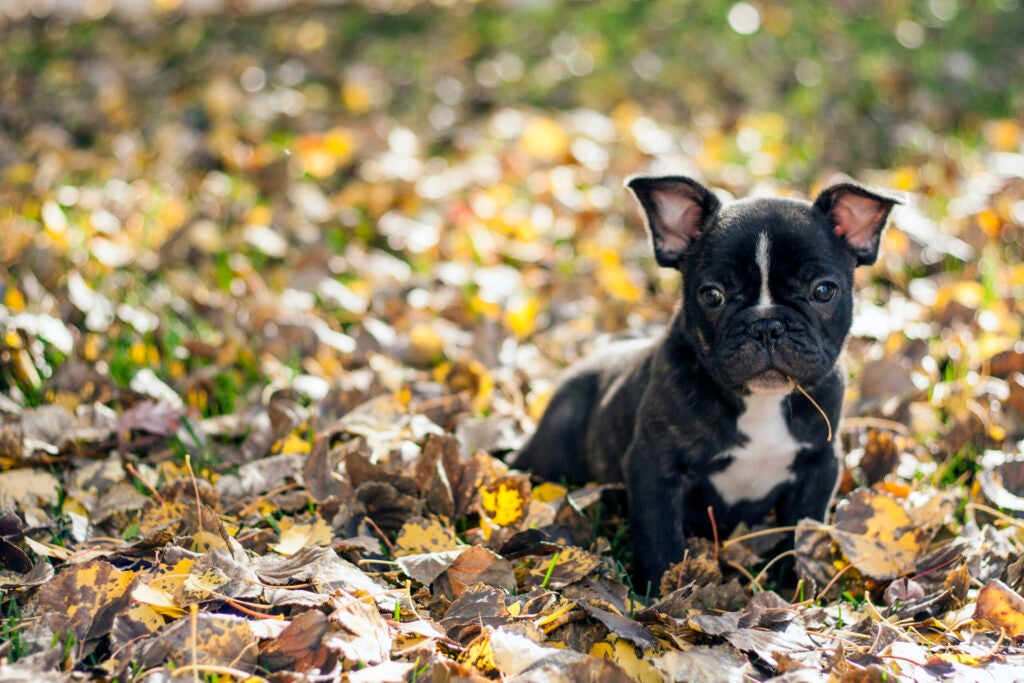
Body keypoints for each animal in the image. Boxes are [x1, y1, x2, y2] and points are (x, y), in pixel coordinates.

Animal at [509, 176, 897, 593]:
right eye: (712, 295)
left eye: (824, 291)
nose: (766, 326)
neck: (761, 402)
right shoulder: (654, 468)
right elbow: (660, 535)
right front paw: (665, 592)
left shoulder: (819, 464)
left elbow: (800, 528)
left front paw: (792, 581)